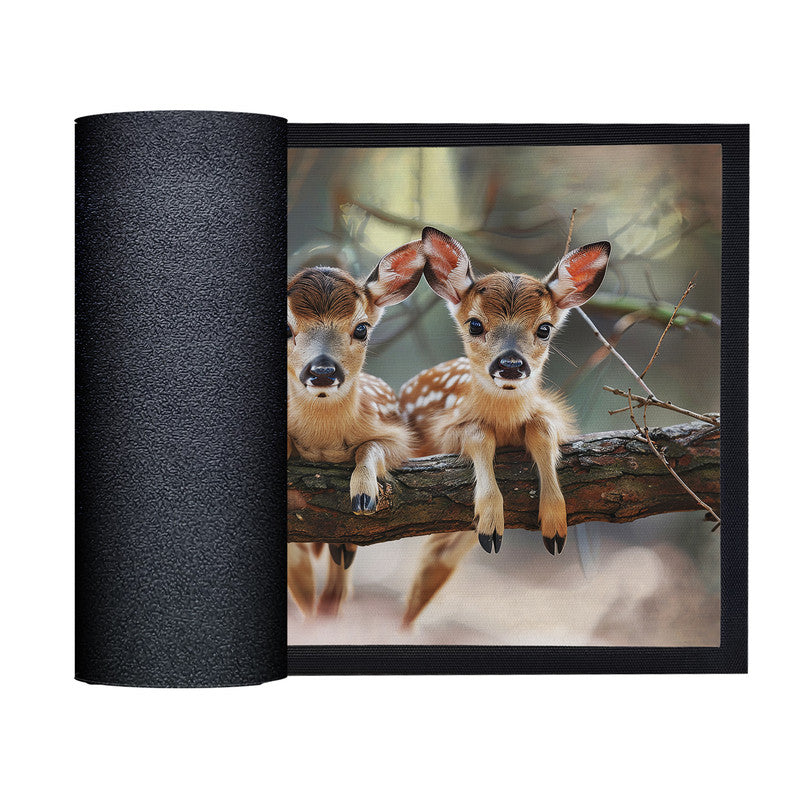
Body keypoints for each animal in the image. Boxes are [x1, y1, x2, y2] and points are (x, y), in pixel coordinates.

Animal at [287, 239, 427, 617]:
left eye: (361, 328)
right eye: (286, 328)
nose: (322, 371)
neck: (323, 440)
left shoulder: (399, 436)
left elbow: (369, 447)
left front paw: (364, 493)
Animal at [398, 227, 610, 627]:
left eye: (544, 328)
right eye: (475, 324)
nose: (511, 365)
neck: (507, 422)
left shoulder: (552, 413)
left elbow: (541, 430)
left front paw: (554, 523)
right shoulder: (447, 428)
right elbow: (479, 434)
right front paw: (490, 520)